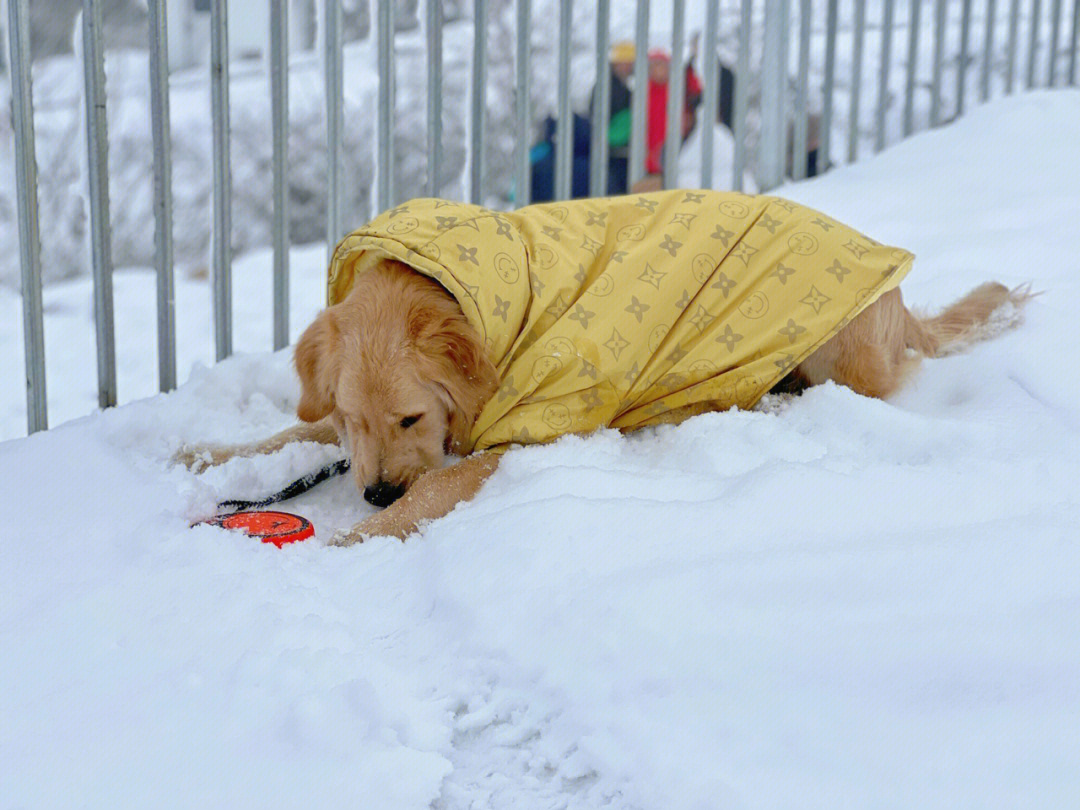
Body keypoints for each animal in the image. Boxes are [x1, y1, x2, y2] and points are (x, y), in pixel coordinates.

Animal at [179, 252, 1028, 546]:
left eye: (411, 417)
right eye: (356, 421)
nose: (377, 491)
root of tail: (901, 300)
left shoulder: (523, 438)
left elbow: (440, 484)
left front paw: (366, 533)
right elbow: (282, 438)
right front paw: (208, 455)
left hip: (840, 348)